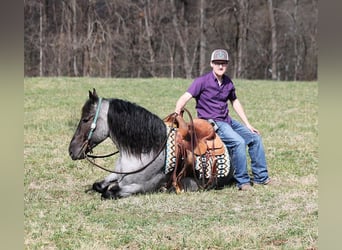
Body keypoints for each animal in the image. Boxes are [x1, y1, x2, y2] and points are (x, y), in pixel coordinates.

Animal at [68, 89, 234, 200]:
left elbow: (109, 192)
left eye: (86, 119)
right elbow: (98, 185)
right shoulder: (117, 174)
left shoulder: (139, 187)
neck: (146, 151)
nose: (71, 150)